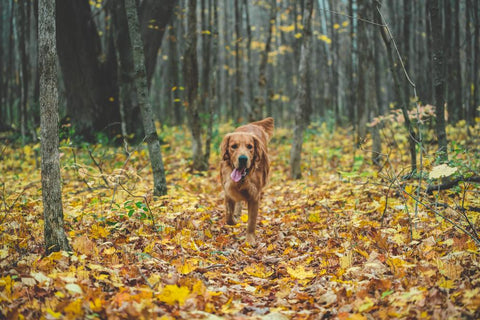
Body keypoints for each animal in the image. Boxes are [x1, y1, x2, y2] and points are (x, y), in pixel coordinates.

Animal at [220, 117, 274, 245]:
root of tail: (253, 124)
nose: (243, 159)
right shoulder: (228, 190)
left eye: (250, 146)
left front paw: (250, 240)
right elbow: (228, 216)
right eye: (234, 146)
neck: (243, 179)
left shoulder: (254, 196)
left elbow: (251, 222)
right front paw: (234, 220)